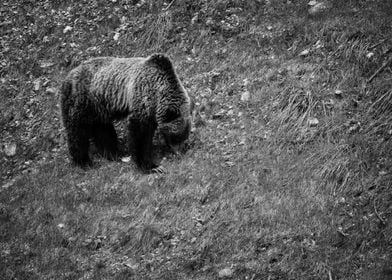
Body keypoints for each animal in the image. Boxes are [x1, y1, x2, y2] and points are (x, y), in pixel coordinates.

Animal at [59, 52, 191, 171]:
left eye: (184, 135)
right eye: (175, 137)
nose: (180, 153)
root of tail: (68, 76)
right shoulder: (141, 97)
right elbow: (139, 133)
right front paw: (150, 166)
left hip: (99, 107)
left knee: (103, 131)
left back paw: (112, 154)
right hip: (82, 100)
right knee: (78, 131)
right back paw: (84, 161)